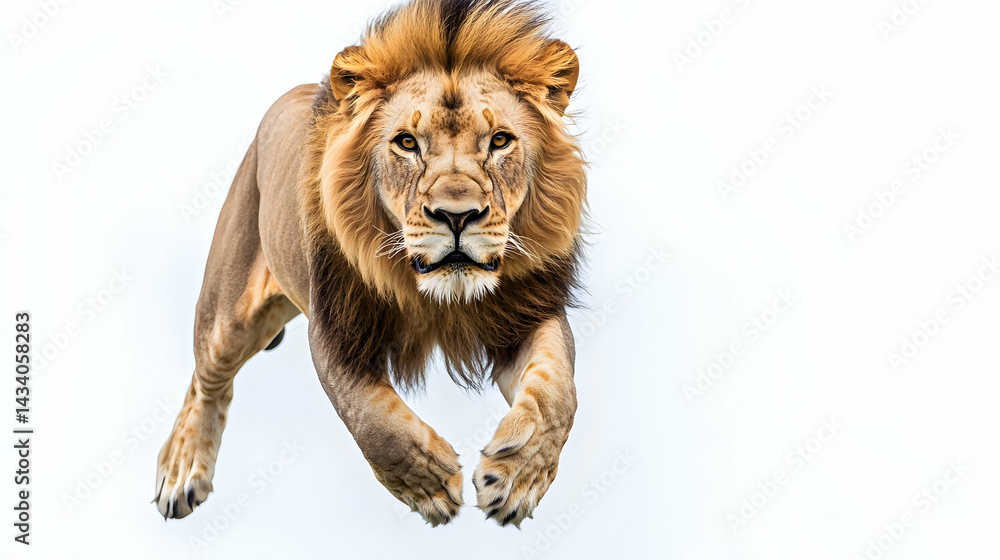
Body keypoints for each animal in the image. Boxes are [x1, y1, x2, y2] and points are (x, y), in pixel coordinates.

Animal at [154, 0, 586, 528]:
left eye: (500, 141)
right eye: (407, 143)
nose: (457, 216)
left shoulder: (527, 313)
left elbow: (556, 395)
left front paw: (517, 476)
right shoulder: (336, 332)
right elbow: (371, 416)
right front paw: (430, 482)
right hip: (227, 313)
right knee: (207, 379)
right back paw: (181, 470)